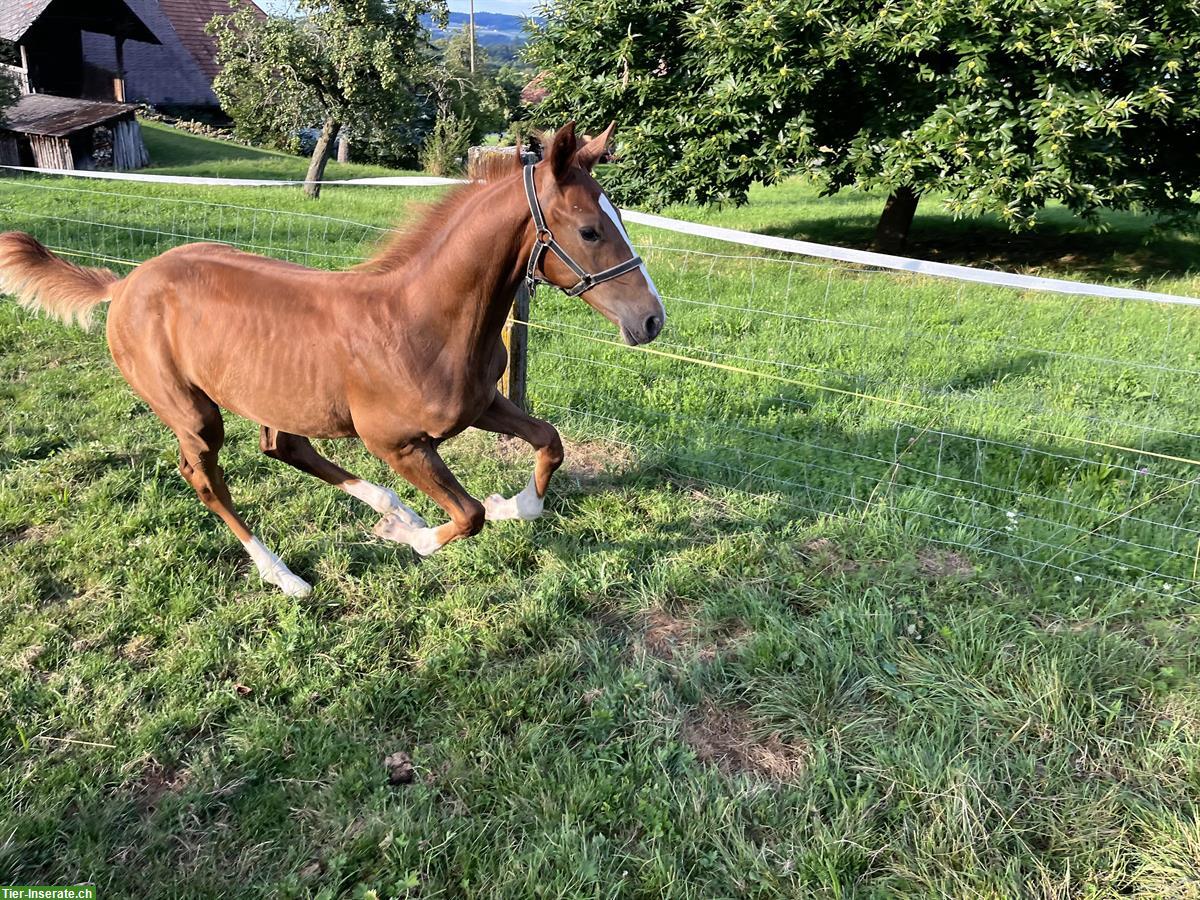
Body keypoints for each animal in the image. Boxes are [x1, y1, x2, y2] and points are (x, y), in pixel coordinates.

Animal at [0, 123, 667, 595]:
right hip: (192, 412)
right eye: (589, 230)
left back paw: (390, 508)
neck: (424, 319)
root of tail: (124, 285)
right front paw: (414, 538)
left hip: (275, 395)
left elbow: (548, 443)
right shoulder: (396, 443)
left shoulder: (482, 402)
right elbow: (468, 515)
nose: (651, 320)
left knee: (283, 446)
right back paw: (288, 574)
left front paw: (514, 506)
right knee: (206, 477)